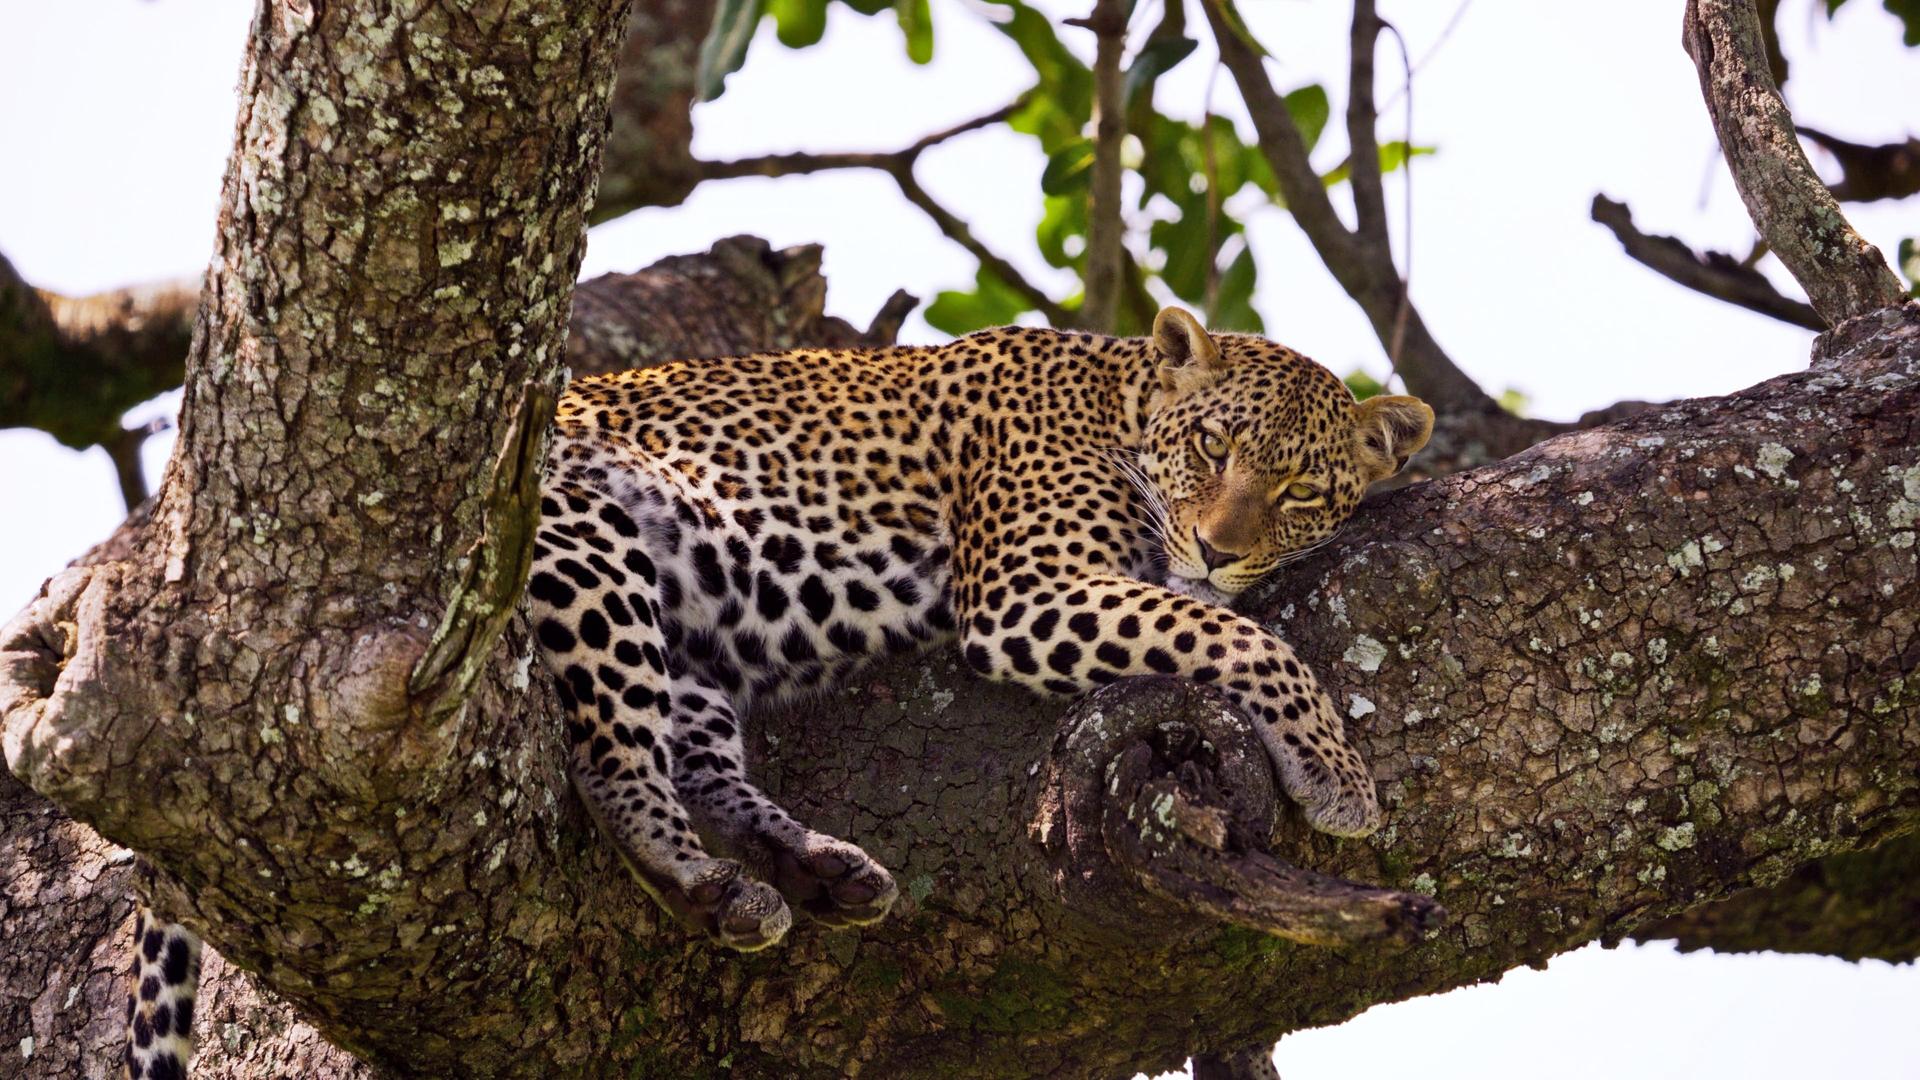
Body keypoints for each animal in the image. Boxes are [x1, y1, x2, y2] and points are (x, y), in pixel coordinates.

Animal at [121, 308, 1431, 1075]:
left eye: (1303, 492)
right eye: (1214, 451)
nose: (1218, 542)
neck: (1115, 398)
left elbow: (1212, 614)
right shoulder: (1026, 588)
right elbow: (1229, 631)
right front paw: (1340, 776)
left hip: (689, 638)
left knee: (695, 755)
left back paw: (814, 870)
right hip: (579, 544)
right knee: (613, 762)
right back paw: (703, 881)